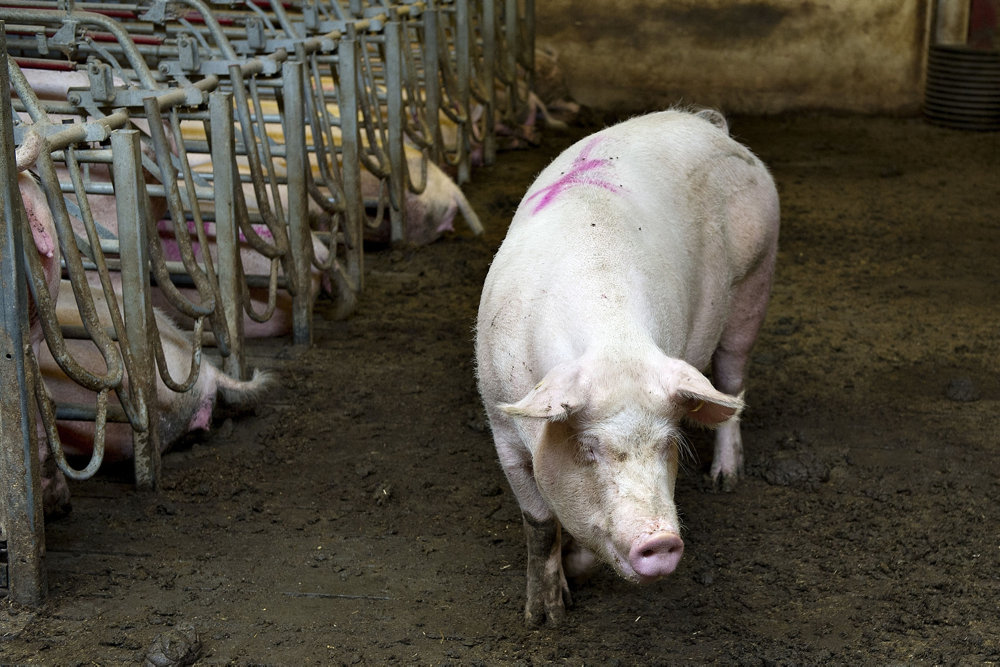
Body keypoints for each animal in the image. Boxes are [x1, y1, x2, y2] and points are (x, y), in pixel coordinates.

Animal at [476, 108, 780, 628]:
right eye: (589, 448)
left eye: (668, 444)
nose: (660, 540)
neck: (613, 343)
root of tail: (708, 124)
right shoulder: (501, 423)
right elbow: (540, 523)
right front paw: (544, 617)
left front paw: (570, 584)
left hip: (755, 280)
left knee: (732, 382)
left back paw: (725, 479)